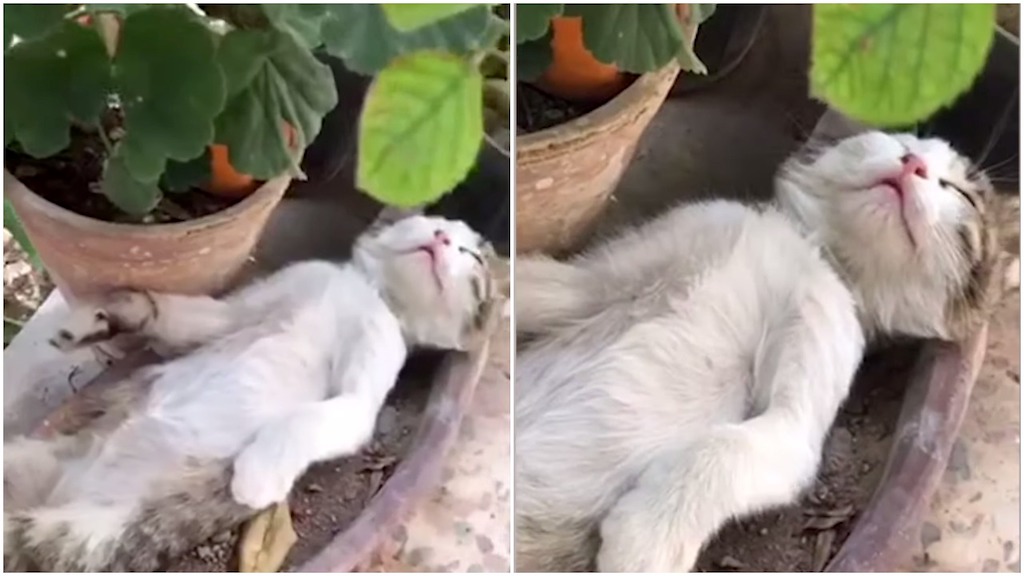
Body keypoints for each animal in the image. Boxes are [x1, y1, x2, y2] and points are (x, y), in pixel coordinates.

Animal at [0, 214, 495, 569]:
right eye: (431, 221)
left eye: (472, 254)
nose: (442, 239)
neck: (367, 290)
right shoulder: (237, 312)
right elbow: (178, 314)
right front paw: (101, 317)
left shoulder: (370, 374)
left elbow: (329, 415)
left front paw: (258, 475)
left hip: (81, 532)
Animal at [516, 131, 1011, 569]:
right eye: (902, 141)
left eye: (961, 193)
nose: (913, 164)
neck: (813, 248)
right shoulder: (606, 276)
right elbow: (545, 284)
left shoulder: (810, 381)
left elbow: (731, 447)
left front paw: (646, 539)